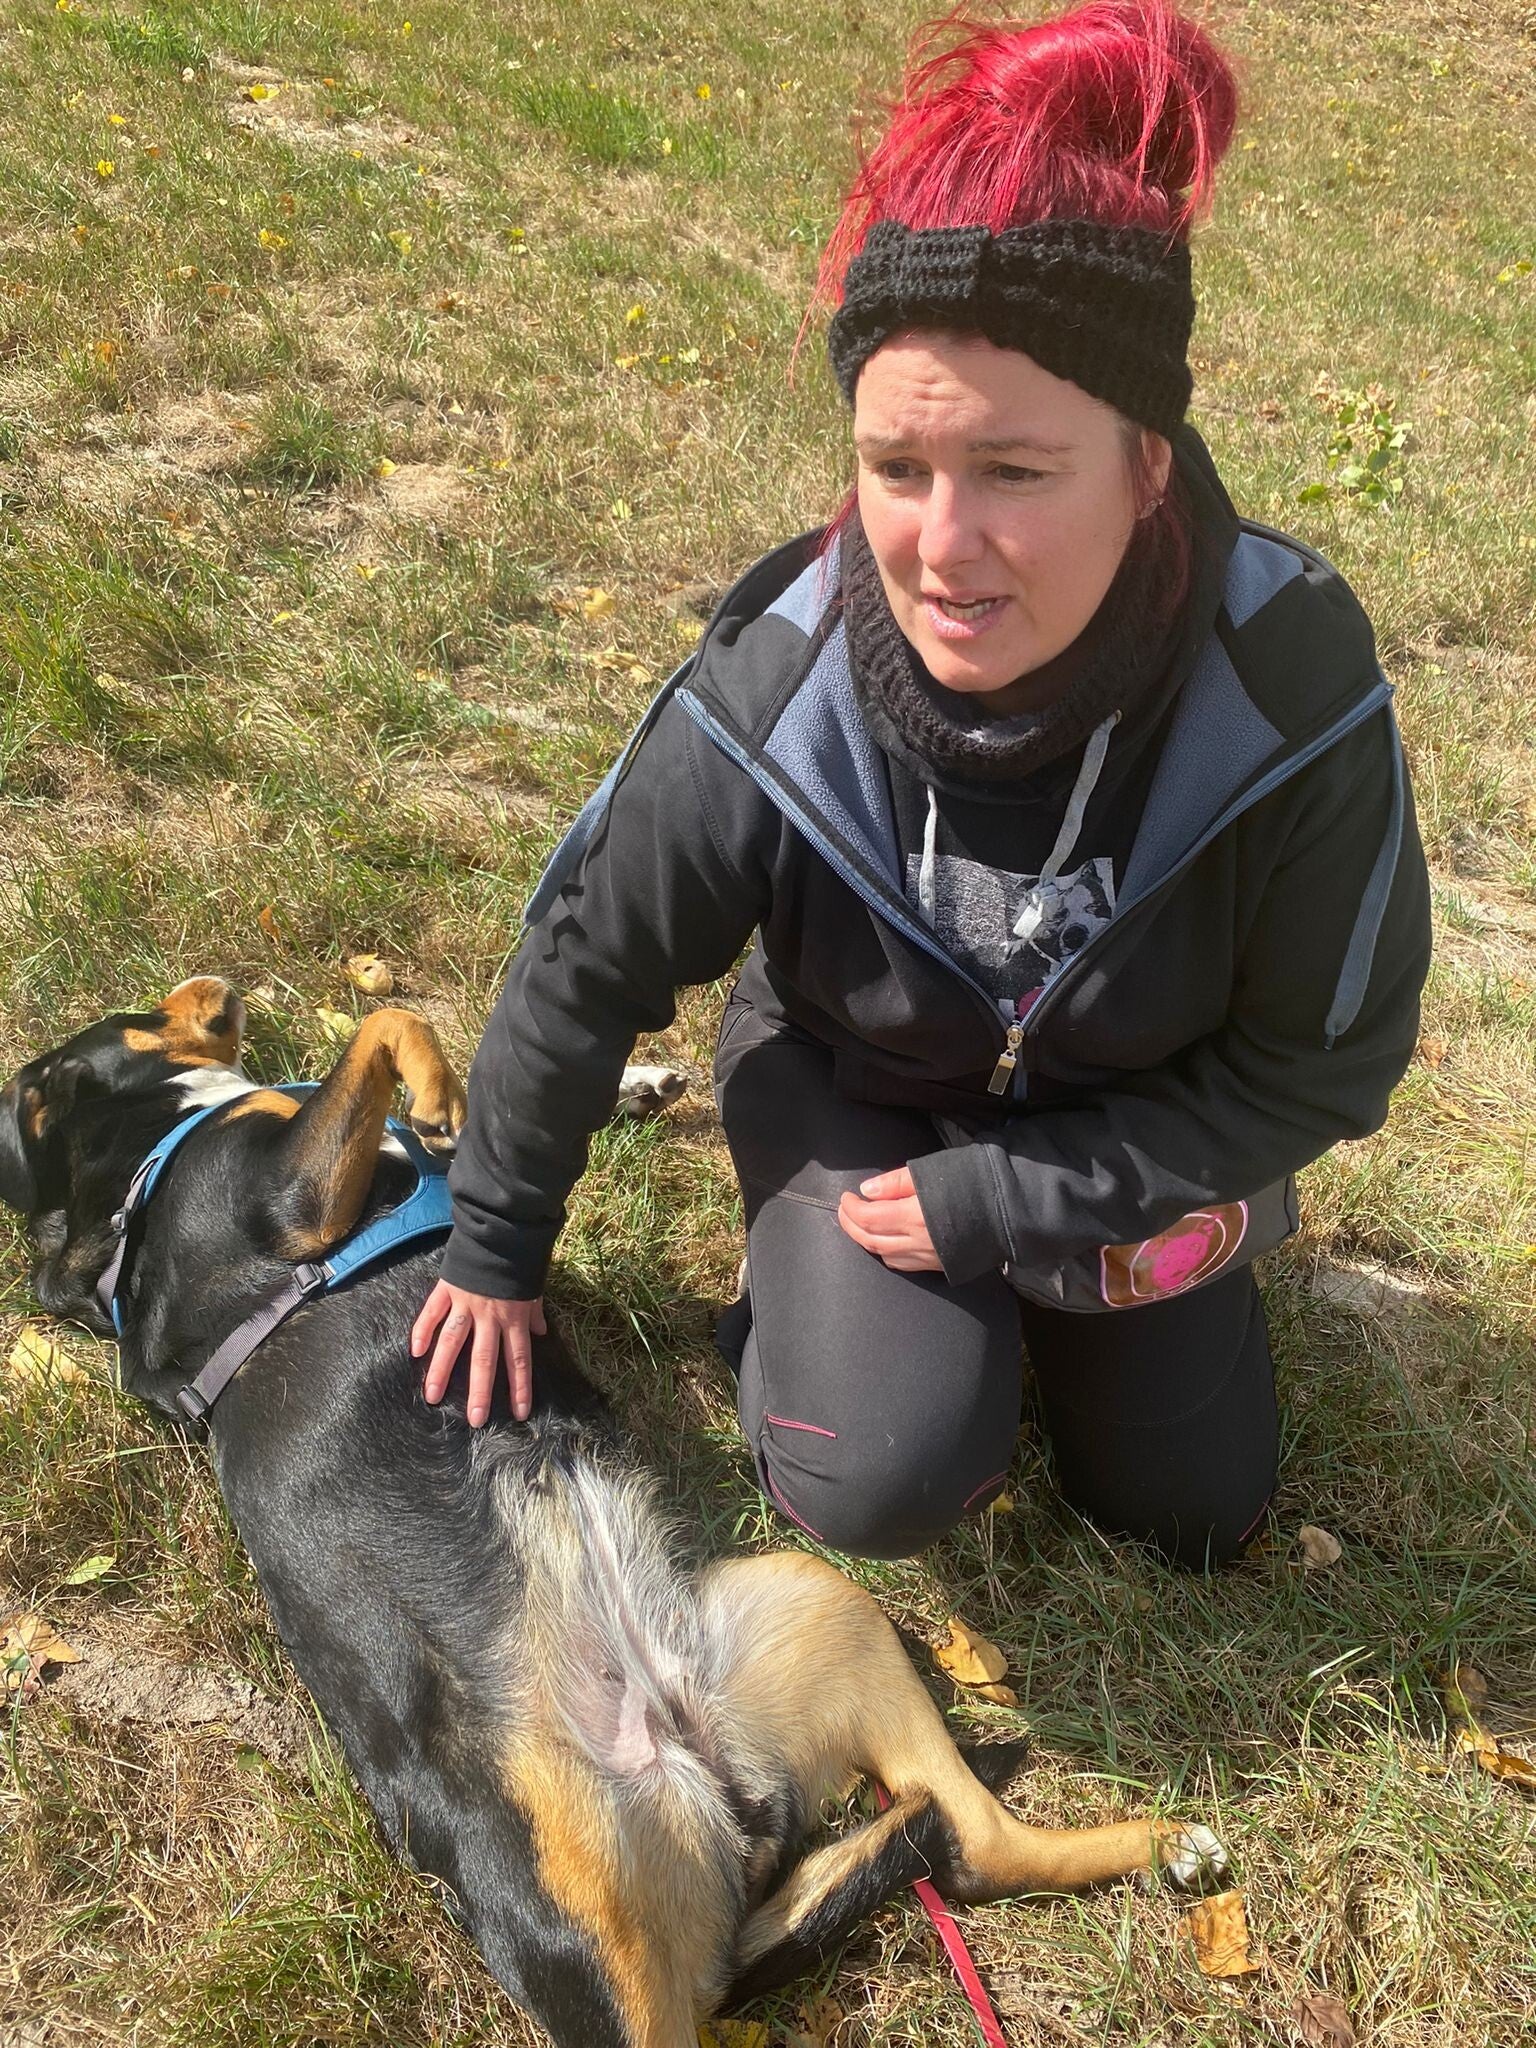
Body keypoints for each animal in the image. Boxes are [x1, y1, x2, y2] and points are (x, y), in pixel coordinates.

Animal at [0, 976, 1225, 2047]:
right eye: (143, 1011)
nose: (214, 986)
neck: (142, 1167)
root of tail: (715, 1790)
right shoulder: (292, 1203)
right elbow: (386, 1025)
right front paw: (438, 1090)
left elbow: (488, 1094)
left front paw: (616, 1081)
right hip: (600, 1922)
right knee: (952, 1851)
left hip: (812, 1598)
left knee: (973, 1840)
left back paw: (1176, 1845)